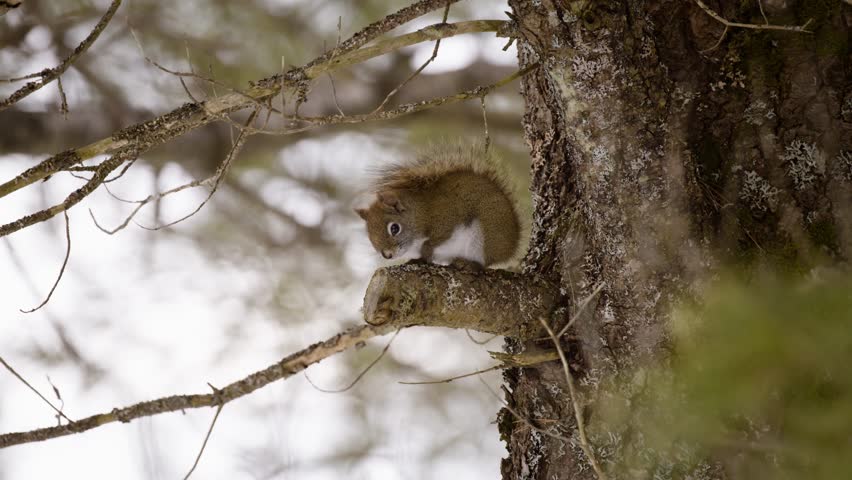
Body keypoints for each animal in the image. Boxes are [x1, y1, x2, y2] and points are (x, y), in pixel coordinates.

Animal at [355, 143, 520, 267]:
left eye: (394, 228)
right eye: (369, 234)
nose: (387, 255)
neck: (420, 213)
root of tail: (512, 246)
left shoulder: (447, 218)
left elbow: (437, 239)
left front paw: (426, 250)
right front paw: (419, 259)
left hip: (487, 234)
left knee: (485, 263)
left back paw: (469, 263)